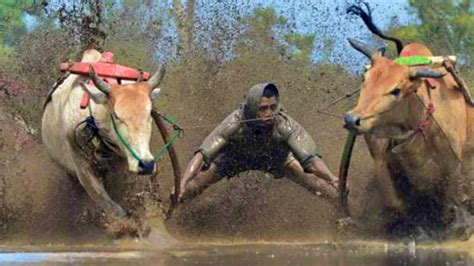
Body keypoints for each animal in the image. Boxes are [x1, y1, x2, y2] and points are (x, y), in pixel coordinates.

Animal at [344, 39, 474, 239]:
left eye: (396, 90)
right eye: (365, 79)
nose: (352, 119)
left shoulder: (453, 166)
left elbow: (452, 202)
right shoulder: (381, 161)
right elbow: (395, 202)